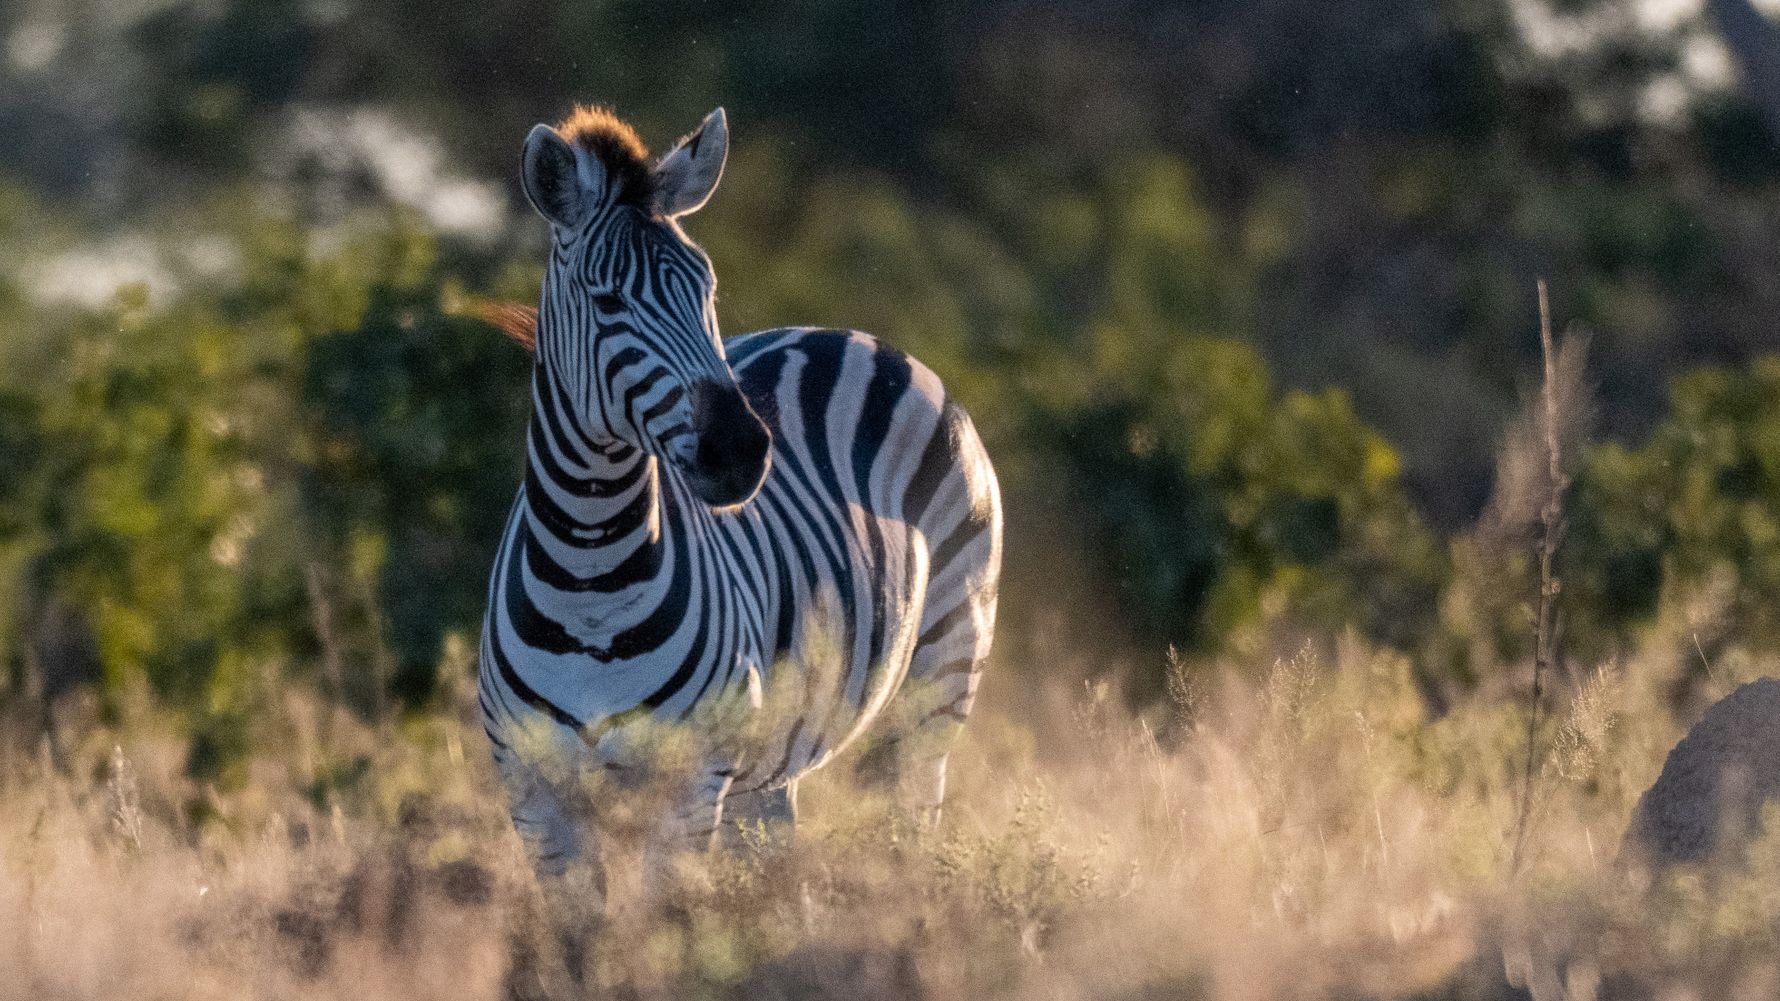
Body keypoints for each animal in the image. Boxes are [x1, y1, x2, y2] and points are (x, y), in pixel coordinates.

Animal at [476, 104, 1002, 917]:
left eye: (707, 290)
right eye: (606, 300)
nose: (742, 449)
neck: (590, 574)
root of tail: (846, 334)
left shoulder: (692, 788)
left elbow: (666, 928)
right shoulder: (535, 797)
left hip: (940, 677)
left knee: (910, 832)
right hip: (773, 760)